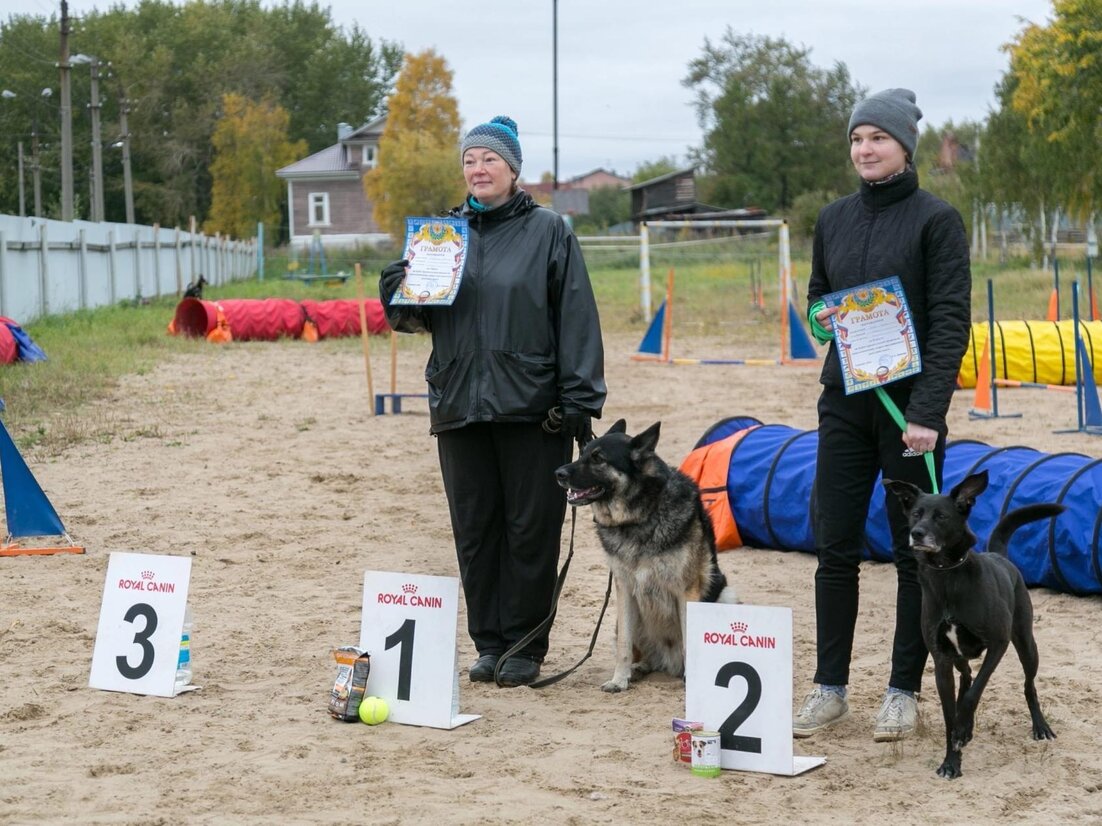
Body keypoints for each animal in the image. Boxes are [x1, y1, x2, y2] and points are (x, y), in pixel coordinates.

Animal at [555, 420, 736, 691]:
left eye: (598, 458)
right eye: (583, 453)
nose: (558, 473)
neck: (640, 515)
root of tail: (669, 663)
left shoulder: (686, 591)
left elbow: (689, 642)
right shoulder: (625, 590)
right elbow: (624, 646)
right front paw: (619, 680)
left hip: (726, 597)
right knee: (643, 655)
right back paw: (638, 669)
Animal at [881, 471, 1062, 784]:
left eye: (941, 516)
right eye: (916, 514)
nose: (917, 533)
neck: (947, 576)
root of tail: (1000, 556)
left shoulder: (998, 645)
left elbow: (974, 693)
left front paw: (963, 731)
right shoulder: (941, 659)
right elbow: (950, 714)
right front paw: (951, 761)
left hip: (1026, 643)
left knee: (1028, 685)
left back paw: (1040, 727)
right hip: (959, 656)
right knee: (966, 675)